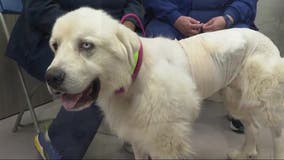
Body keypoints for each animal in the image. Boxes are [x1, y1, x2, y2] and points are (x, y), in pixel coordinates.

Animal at [45, 7, 284, 159]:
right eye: (55, 46)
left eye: (86, 45)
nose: (51, 77)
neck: (134, 78)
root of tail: (263, 37)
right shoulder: (139, 137)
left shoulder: (165, 142)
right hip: (236, 100)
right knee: (253, 126)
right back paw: (245, 153)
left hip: (265, 100)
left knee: (277, 132)